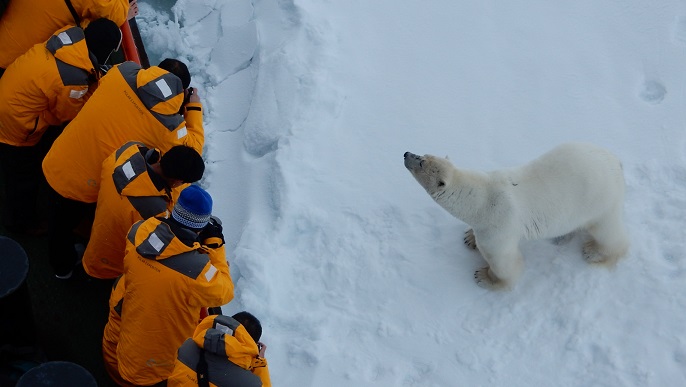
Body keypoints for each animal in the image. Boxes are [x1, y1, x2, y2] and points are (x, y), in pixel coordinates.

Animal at [406, 142, 632, 292]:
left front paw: (484, 277)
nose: (406, 153)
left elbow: (505, 263)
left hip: (598, 201)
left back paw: (594, 252)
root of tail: (617, 162)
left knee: (608, 231)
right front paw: (469, 237)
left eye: (422, 161)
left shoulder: (497, 226)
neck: (481, 198)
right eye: (424, 153)